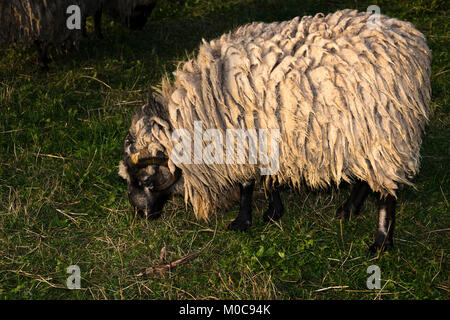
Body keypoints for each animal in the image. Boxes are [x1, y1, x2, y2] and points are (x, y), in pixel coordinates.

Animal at [119, 9, 432, 252]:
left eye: (147, 181)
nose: (142, 214)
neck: (205, 101)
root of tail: (413, 42)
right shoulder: (265, 137)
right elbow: (268, 178)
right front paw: (273, 211)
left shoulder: (244, 139)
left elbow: (247, 184)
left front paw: (243, 221)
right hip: (363, 134)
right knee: (368, 176)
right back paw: (349, 209)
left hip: (387, 129)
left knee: (387, 191)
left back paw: (381, 242)